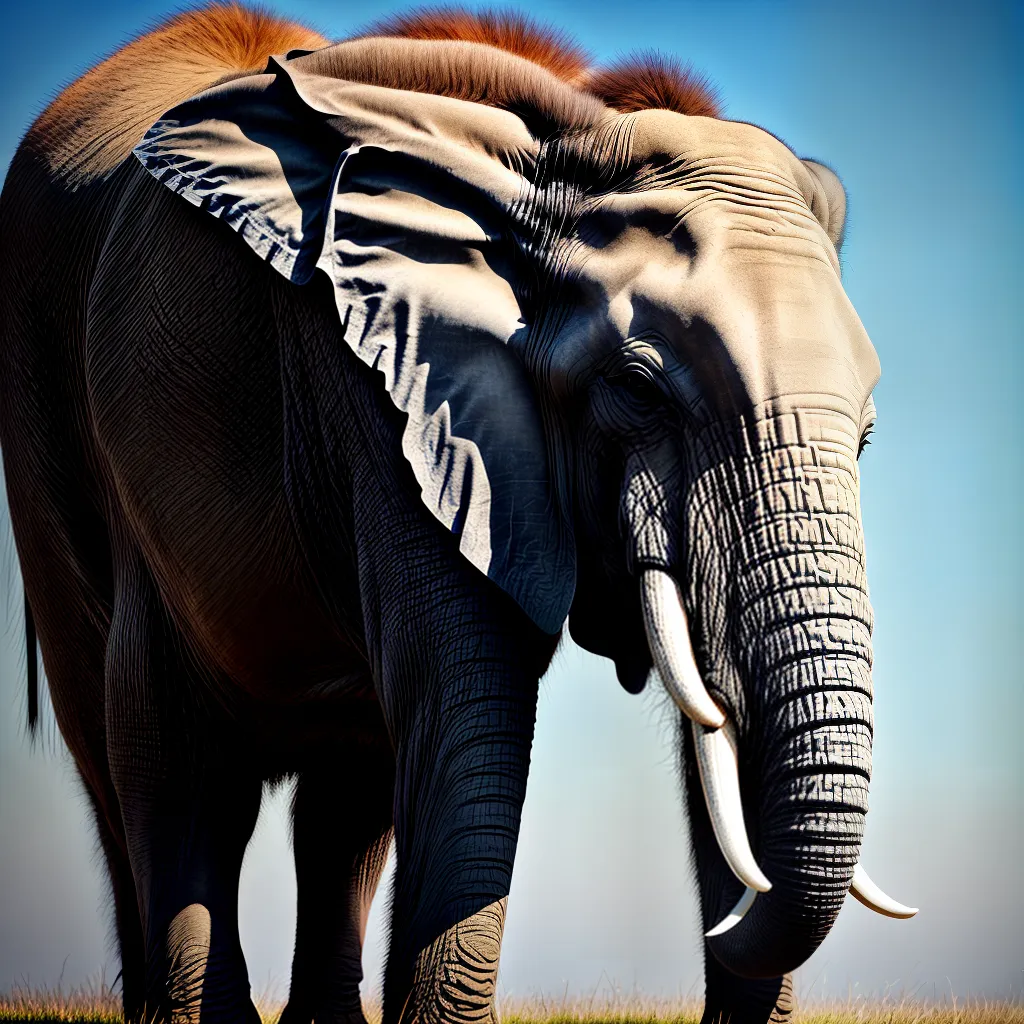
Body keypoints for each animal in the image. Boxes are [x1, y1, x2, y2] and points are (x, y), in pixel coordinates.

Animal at [0, 5, 917, 1023]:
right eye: (637, 390)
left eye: (867, 435)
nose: (723, 928)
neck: (575, 134)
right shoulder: (388, 388)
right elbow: (463, 697)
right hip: (54, 430)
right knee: (167, 763)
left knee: (344, 792)